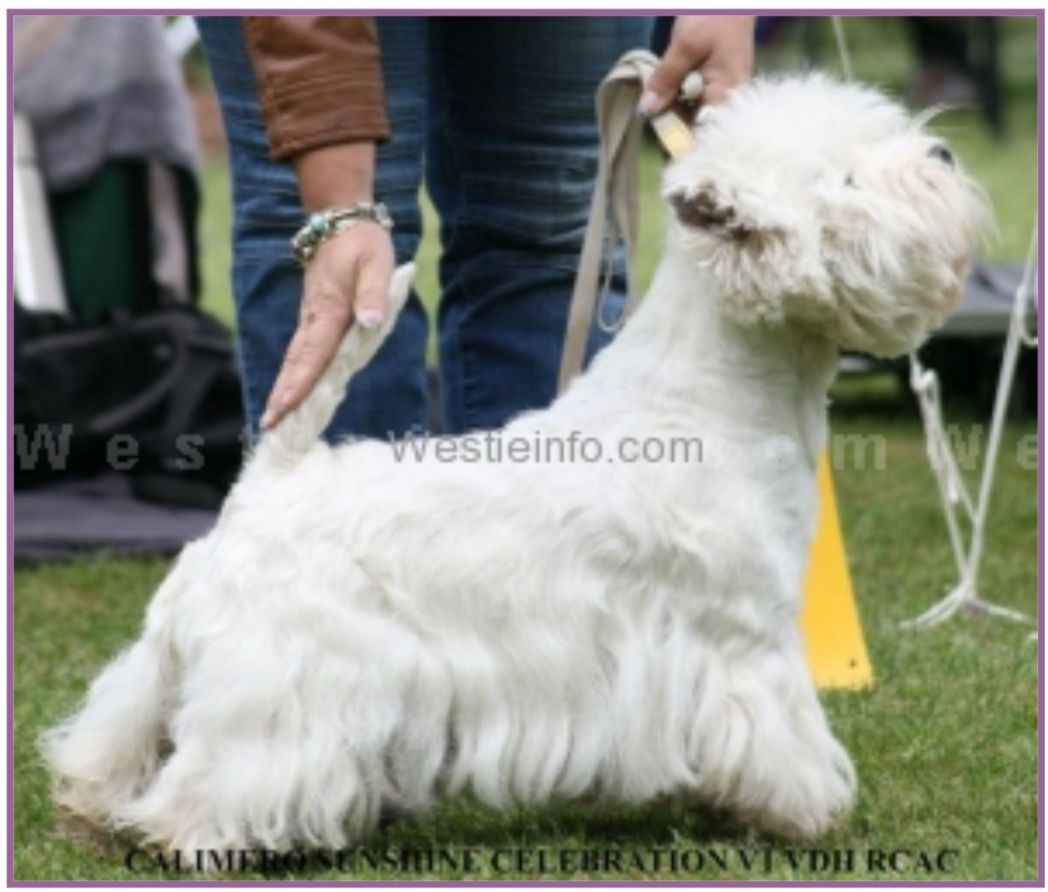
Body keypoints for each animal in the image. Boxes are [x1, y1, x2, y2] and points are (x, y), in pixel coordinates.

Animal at [42, 74, 989, 851]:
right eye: (849, 181)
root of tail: (265, 483)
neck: (709, 395)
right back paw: (197, 835)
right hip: (286, 679)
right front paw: (805, 811)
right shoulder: (746, 633)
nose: (945, 153)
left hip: (175, 660)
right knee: (223, 775)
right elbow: (780, 734)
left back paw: (92, 801)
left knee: (121, 723)